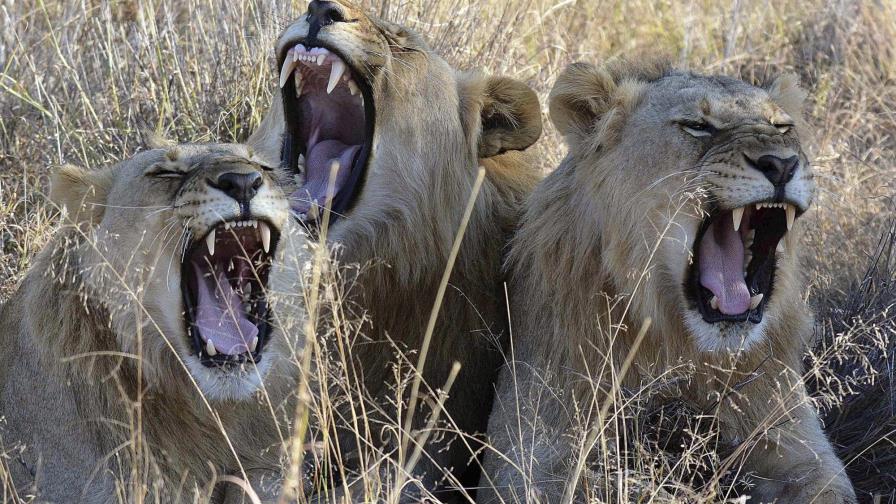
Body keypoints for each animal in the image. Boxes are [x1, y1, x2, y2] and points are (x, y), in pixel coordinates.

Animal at [478, 60, 857, 503]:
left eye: (782, 126)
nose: (781, 164)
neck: (682, 344)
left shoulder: (797, 446)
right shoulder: (525, 458)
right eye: (697, 126)